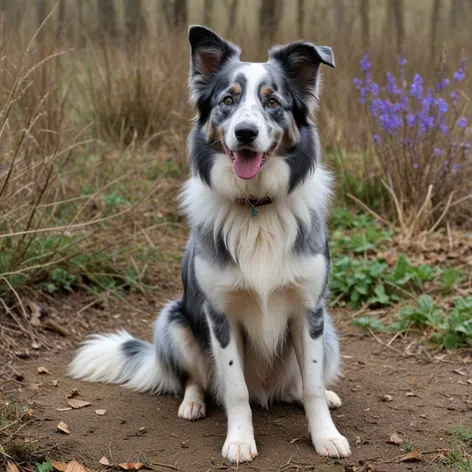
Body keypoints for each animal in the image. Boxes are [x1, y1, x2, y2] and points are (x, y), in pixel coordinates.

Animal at [69, 24, 350, 462]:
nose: (245, 133)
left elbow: (313, 386)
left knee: (300, 383)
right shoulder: (219, 314)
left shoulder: (310, 309)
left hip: (330, 330)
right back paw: (193, 403)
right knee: (198, 379)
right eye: (227, 101)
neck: (255, 207)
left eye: (273, 102)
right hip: (173, 321)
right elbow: (234, 390)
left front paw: (326, 436)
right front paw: (240, 440)